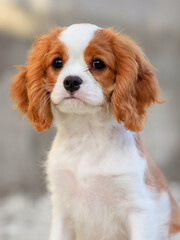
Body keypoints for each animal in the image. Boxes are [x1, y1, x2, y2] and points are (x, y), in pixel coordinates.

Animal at [10, 23, 179, 240]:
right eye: (57, 62)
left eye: (98, 64)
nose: (71, 81)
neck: (87, 133)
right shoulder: (62, 208)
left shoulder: (140, 208)